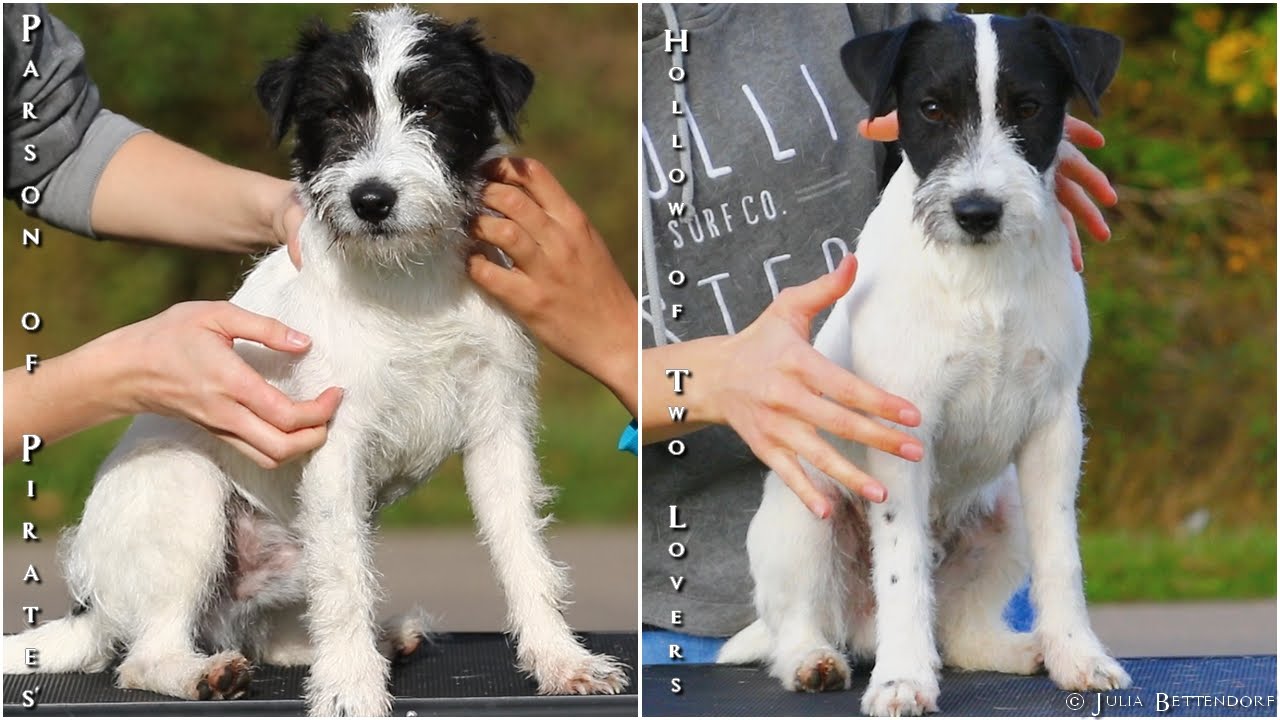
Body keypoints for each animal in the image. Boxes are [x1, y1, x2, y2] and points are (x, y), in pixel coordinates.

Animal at [2, 8, 627, 712]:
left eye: (433, 107)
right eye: (332, 113)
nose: (371, 199)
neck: (405, 281)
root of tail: (90, 609)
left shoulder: (499, 430)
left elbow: (525, 553)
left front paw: (560, 660)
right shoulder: (335, 445)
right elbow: (346, 583)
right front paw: (351, 691)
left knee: (270, 633)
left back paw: (376, 641)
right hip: (185, 492)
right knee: (145, 657)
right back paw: (207, 674)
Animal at [721, 14, 1131, 712]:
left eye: (1028, 108)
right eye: (932, 109)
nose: (977, 212)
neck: (981, 277)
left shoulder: (1055, 431)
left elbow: (1062, 559)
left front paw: (1079, 655)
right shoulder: (901, 432)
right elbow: (902, 567)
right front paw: (903, 679)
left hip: (1007, 513)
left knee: (961, 630)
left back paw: (1024, 650)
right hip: (806, 518)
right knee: (796, 625)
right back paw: (815, 661)